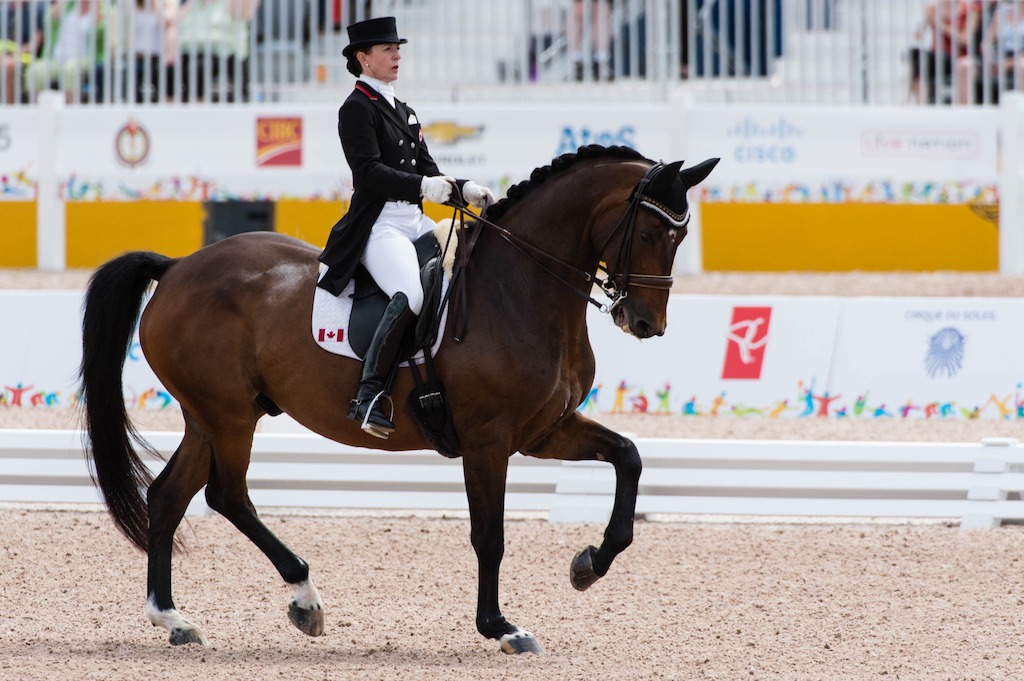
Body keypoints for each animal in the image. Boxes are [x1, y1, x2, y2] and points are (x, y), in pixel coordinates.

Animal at [79, 143, 720, 655]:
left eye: (682, 235)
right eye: (647, 233)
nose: (646, 324)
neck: (520, 289)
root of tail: (178, 266)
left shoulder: (543, 431)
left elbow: (628, 458)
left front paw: (589, 564)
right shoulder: (487, 440)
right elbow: (489, 535)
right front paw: (501, 627)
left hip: (210, 416)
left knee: (169, 496)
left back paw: (175, 619)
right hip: (229, 415)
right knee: (227, 495)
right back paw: (304, 599)